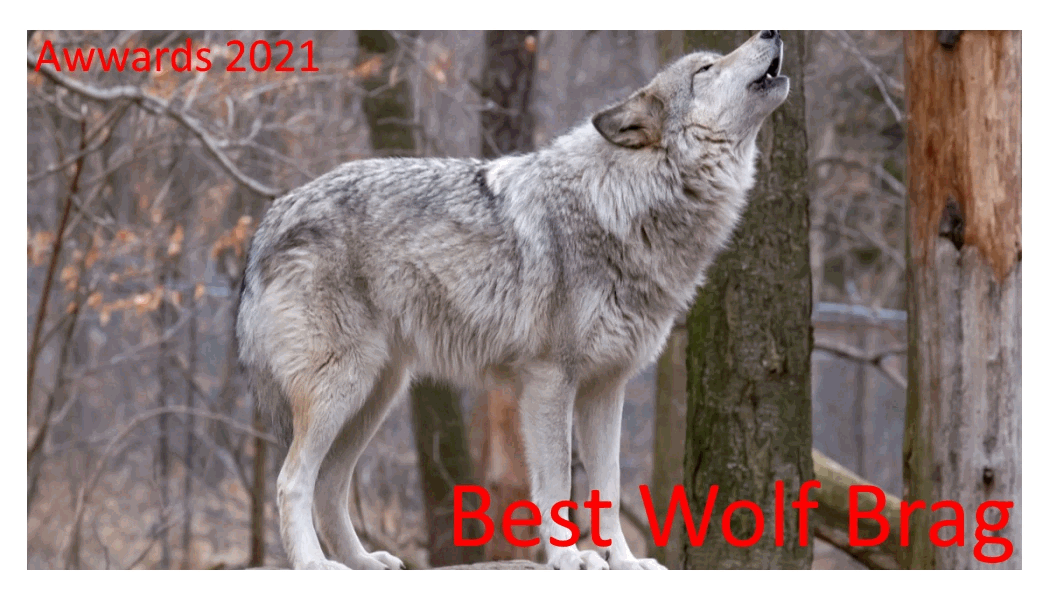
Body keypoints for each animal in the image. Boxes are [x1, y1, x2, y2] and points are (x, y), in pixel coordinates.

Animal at [237, 30, 789, 570]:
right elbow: (557, 483)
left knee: (330, 486)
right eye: (706, 70)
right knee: (293, 481)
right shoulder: (549, 382)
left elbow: (608, 489)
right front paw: (569, 559)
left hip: (376, 395)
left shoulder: (606, 388)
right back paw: (313, 566)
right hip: (343, 389)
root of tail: (272, 218)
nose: (772, 31)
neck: (622, 204)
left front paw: (626, 563)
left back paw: (362, 563)